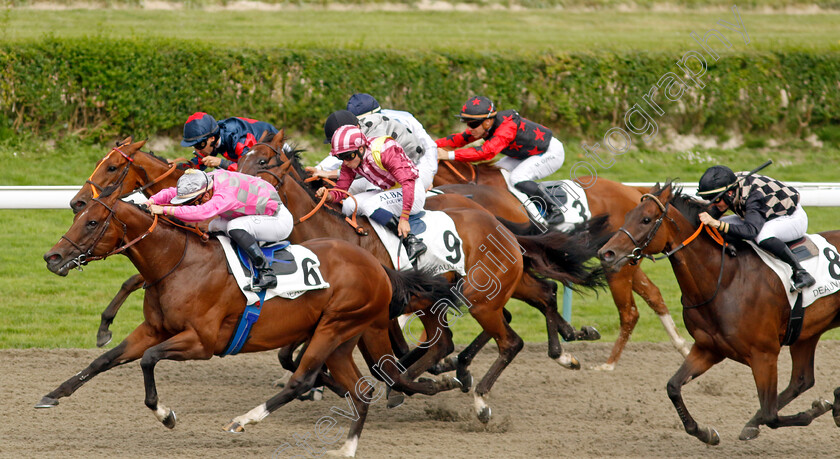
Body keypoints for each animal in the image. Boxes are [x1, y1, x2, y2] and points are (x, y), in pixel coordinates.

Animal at [39, 186, 460, 456]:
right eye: (78, 215)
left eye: (93, 222)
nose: (52, 257)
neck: (179, 262)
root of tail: (378, 266)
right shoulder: (155, 329)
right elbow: (104, 359)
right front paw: (53, 395)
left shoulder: (202, 343)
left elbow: (147, 360)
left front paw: (166, 415)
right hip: (341, 337)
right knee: (362, 390)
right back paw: (348, 446)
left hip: (335, 327)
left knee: (302, 379)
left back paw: (244, 420)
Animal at [240, 132, 608, 420]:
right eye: (240, 161)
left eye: (262, 163)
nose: (232, 190)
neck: (333, 232)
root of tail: (499, 223)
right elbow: (291, 356)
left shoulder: (371, 315)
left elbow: (377, 362)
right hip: (450, 297)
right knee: (530, 300)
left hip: (477, 296)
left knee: (508, 335)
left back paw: (477, 393)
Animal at [434, 159, 688, 370]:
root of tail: (635, 191)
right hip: (623, 260)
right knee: (653, 295)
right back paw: (682, 346)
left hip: (618, 262)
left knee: (629, 311)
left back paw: (608, 364)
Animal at [596, 182, 840, 446]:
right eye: (627, 215)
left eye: (646, 219)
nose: (606, 253)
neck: (725, 281)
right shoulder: (708, 348)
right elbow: (673, 387)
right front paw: (706, 432)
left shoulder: (764, 355)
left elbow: (771, 414)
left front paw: (821, 408)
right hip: (806, 333)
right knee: (802, 380)